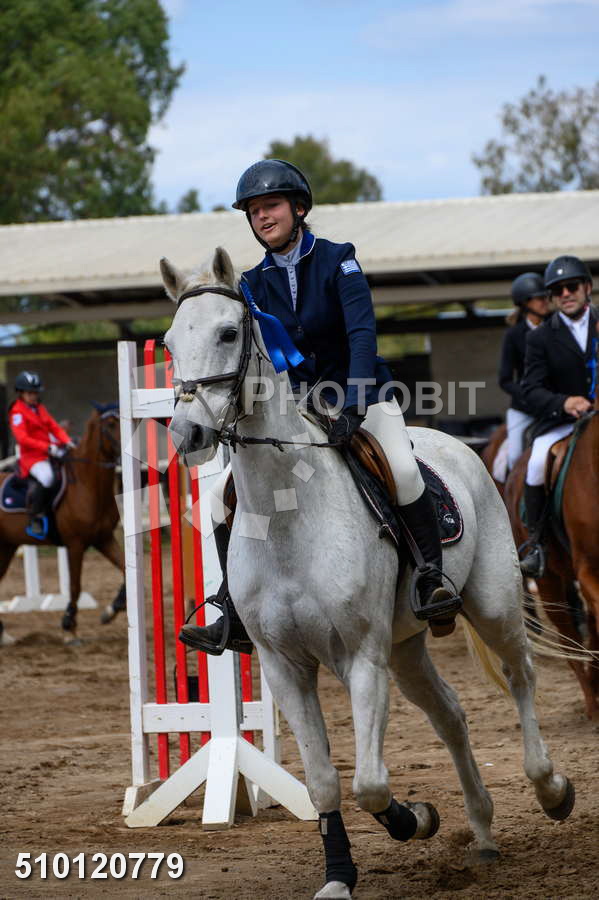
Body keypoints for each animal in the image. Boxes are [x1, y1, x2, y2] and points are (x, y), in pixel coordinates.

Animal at [0, 405, 126, 640]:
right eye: (111, 423)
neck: (87, 485)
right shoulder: (75, 544)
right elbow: (75, 585)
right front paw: (70, 627)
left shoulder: (103, 539)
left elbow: (126, 569)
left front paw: (112, 610)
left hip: (7, 547)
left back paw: (3, 635)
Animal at [162, 248, 574, 899]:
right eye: (169, 342)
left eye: (229, 333)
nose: (188, 434)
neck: (289, 515)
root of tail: (461, 447)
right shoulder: (285, 667)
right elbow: (326, 783)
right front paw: (342, 874)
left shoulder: (362, 656)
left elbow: (371, 783)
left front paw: (415, 819)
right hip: (405, 648)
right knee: (451, 714)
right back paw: (482, 831)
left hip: (494, 605)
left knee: (521, 675)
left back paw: (551, 789)